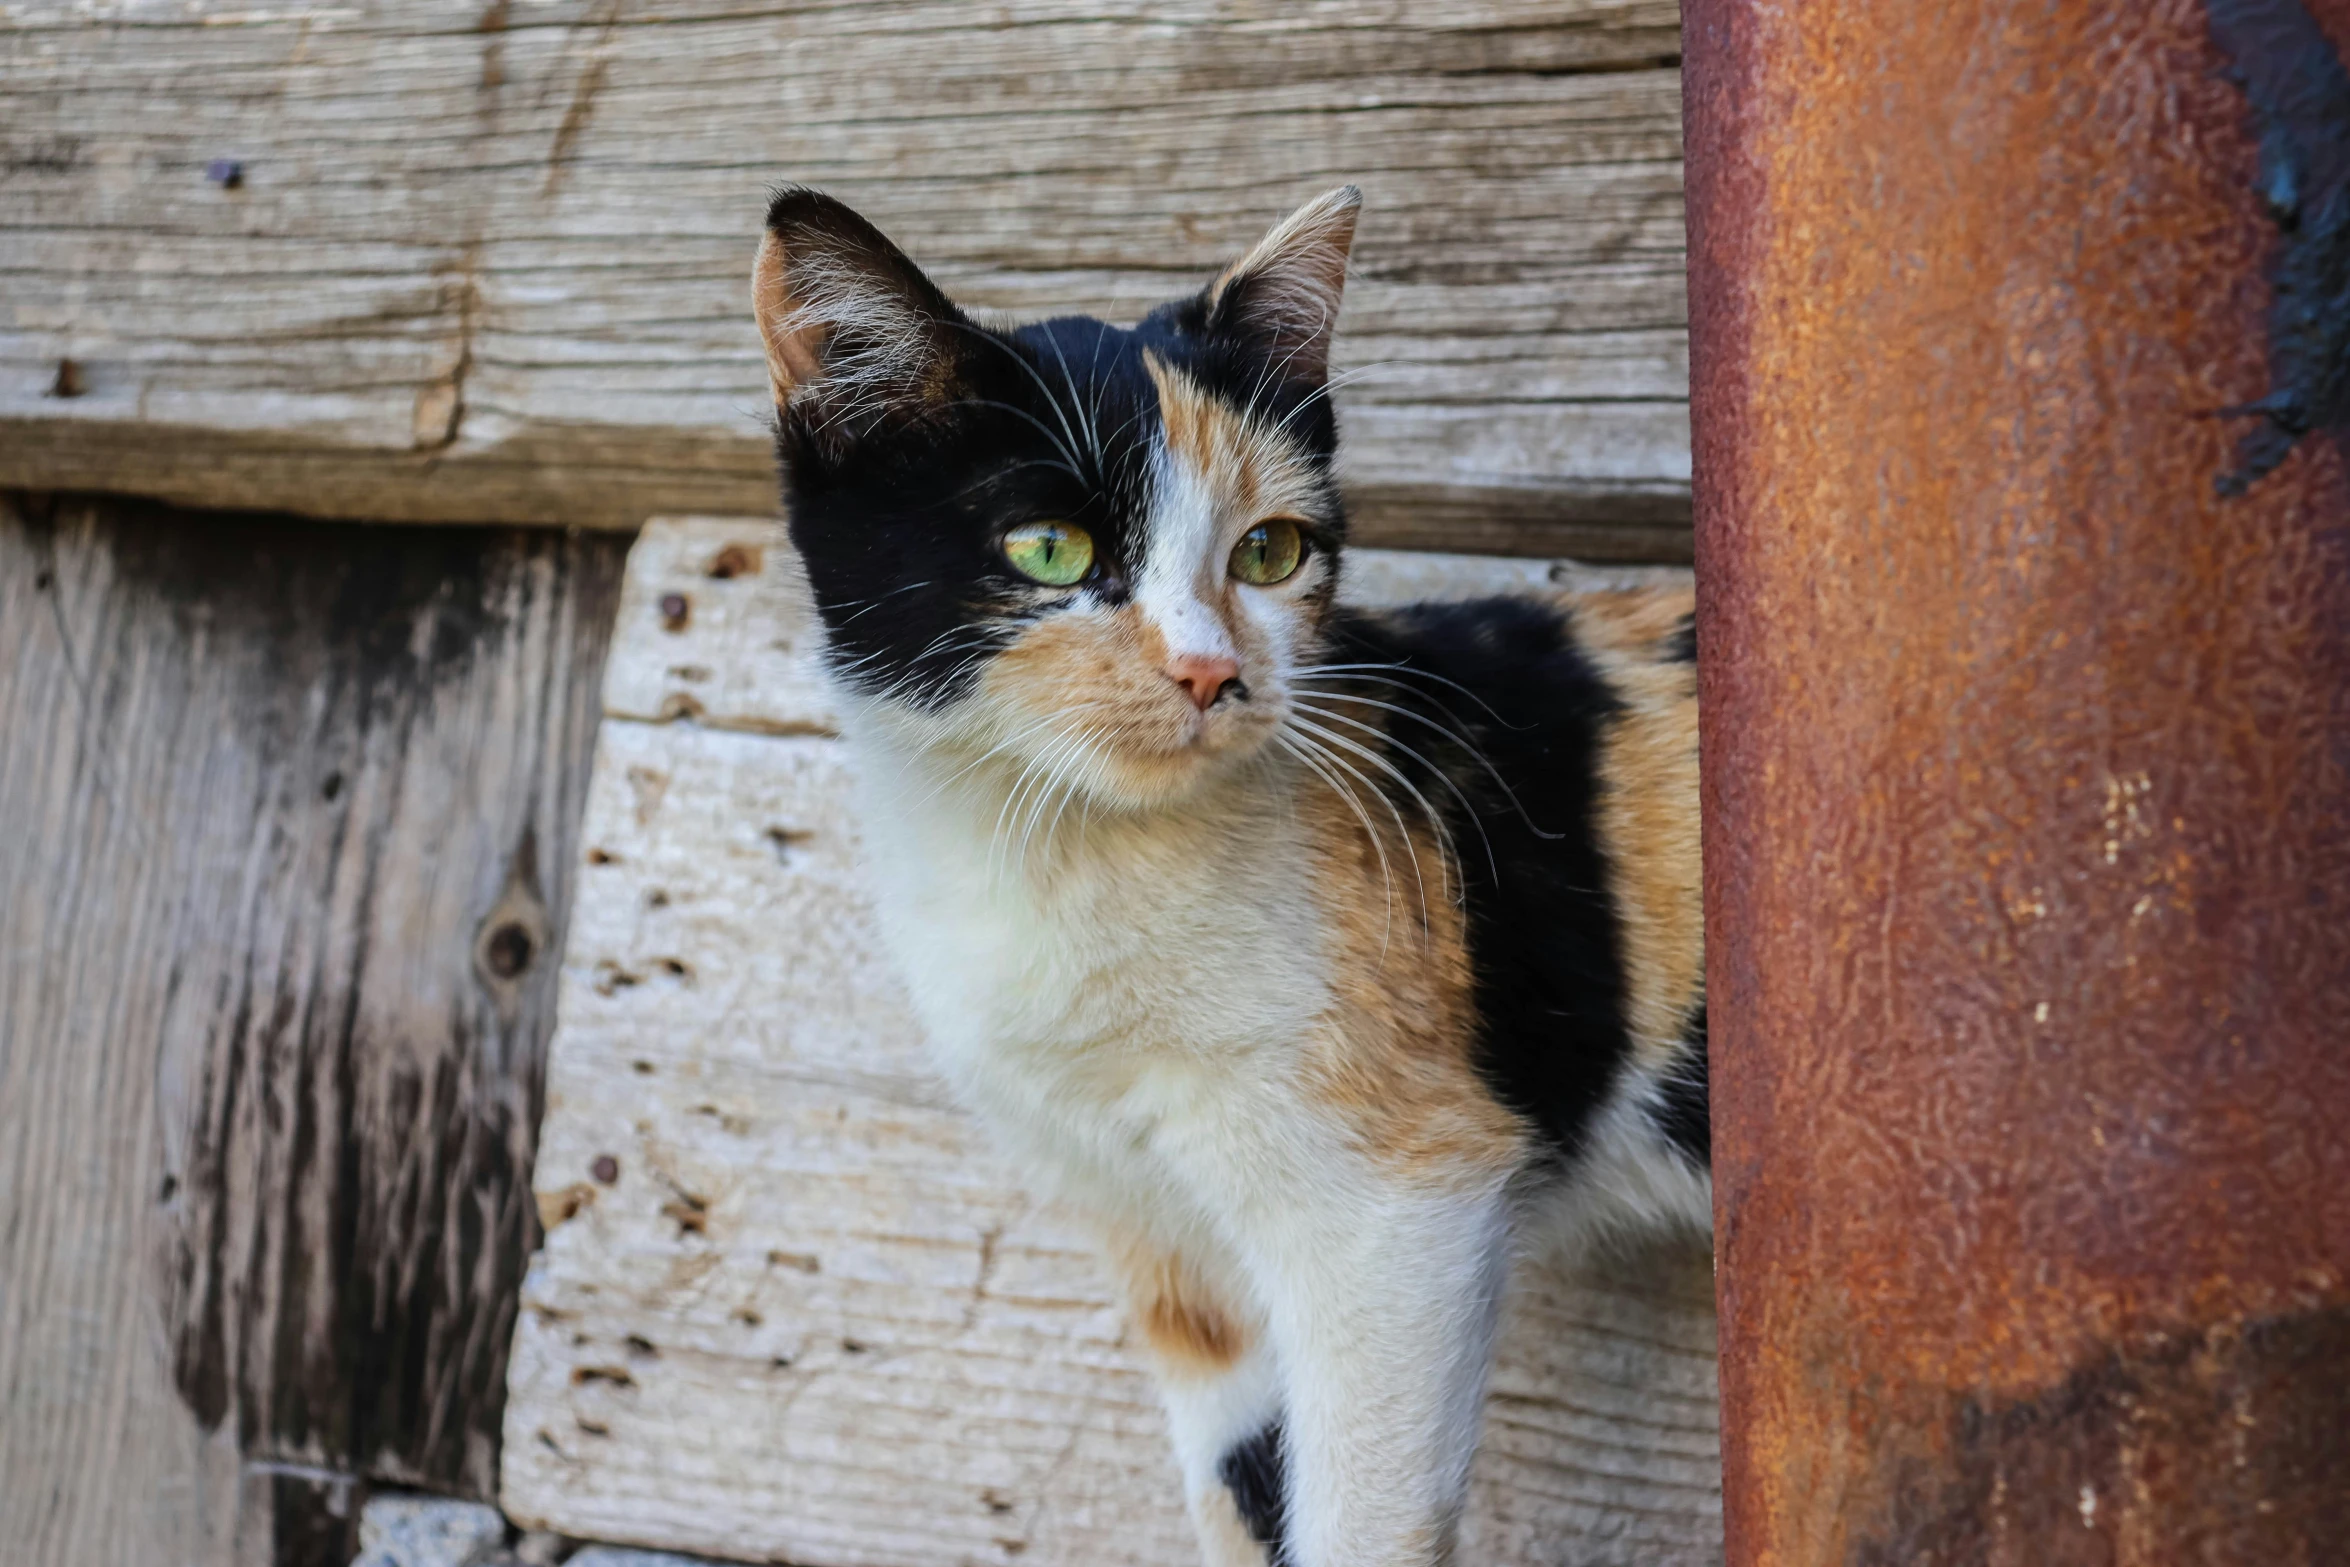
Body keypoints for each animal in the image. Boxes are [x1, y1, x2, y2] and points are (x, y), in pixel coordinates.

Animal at [752, 186, 1710, 1567]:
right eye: (1050, 549)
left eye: (1269, 552)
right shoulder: (1160, 1235)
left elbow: (1357, 1518)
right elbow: (1242, 1483)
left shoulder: (1396, 1214)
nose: (1213, 672)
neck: (1070, 864)